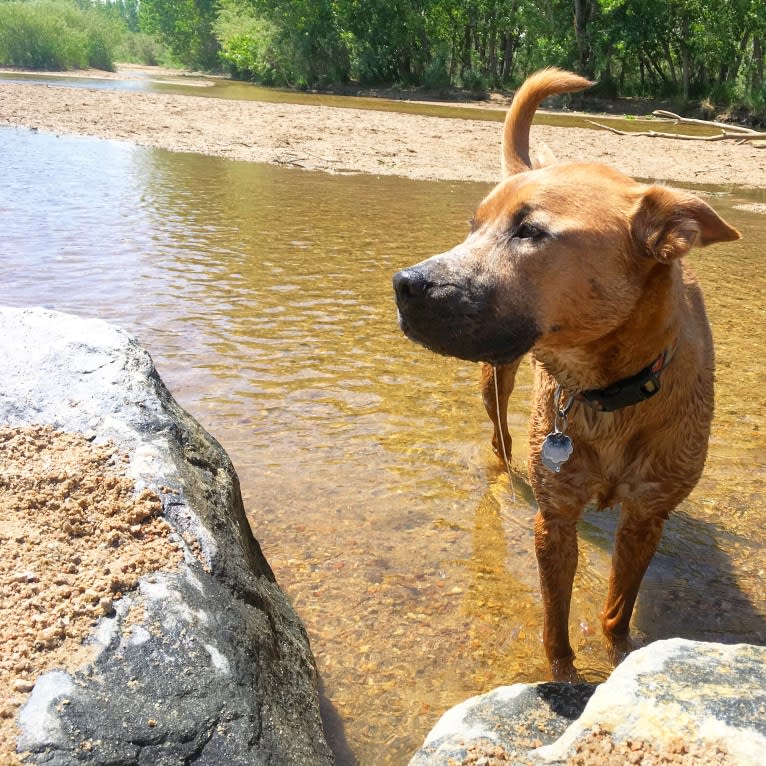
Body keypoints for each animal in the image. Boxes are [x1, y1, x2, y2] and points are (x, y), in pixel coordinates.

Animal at [392, 69, 740, 680]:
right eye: (472, 227)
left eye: (530, 231)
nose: (405, 285)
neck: (608, 391)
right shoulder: (554, 518)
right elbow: (555, 618)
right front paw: (564, 676)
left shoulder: (647, 514)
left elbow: (618, 606)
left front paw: (620, 654)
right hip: (495, 382)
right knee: (500, 439)